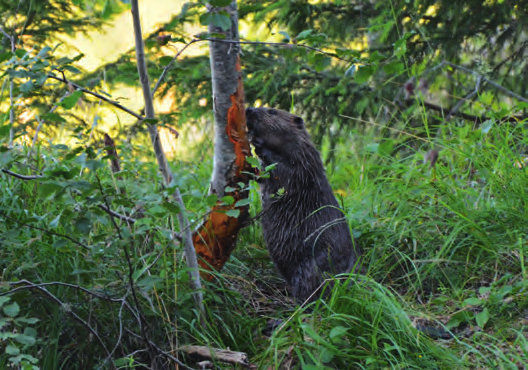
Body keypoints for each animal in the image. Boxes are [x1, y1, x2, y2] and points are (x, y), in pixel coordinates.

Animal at [245, 106, 360, 300]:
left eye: (272, 111)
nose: (248, 109)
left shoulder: (304, 163)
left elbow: (284, 170)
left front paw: (258, 144)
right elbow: (262, 176)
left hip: (312, 266)